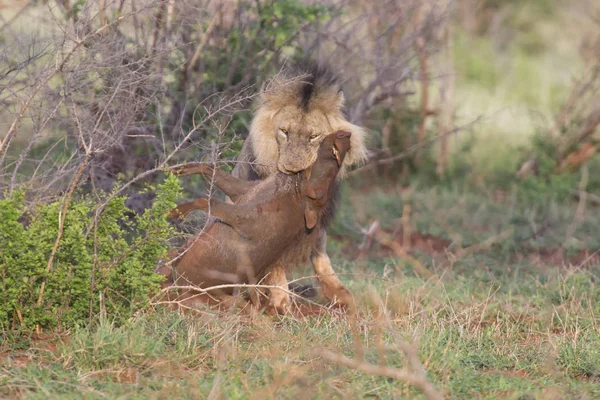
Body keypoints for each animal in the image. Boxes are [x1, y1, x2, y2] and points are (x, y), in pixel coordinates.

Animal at [231, 61, 368, 312]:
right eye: (284, 132)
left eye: (314, 136)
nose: (294, 170)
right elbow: (274, 262)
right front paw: (280, 301)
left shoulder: (318, 221)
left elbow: (321, 256)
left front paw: (340, 294)